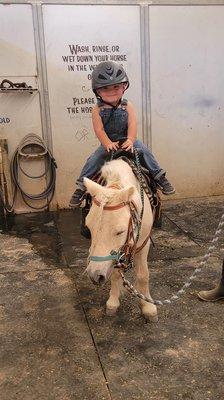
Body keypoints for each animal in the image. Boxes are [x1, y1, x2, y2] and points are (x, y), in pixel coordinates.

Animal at [83, 158, 158, 320]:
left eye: (120, 232)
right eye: (89, 227)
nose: (94, 276)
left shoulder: (144, 244)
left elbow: (143, 275)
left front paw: (148, 307)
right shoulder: (116, 254)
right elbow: (116, 274)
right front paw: (113, 302)